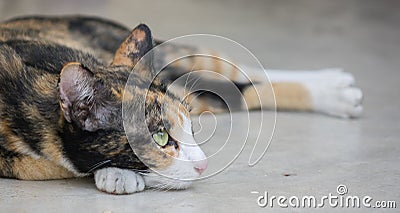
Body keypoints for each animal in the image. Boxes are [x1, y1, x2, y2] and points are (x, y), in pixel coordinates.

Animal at [0, 15, 362, 195]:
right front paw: (117, 175)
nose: (203, 164)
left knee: (238, 75)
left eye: (190, 129)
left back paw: (334, 88)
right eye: (160, 138)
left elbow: (243, 90)